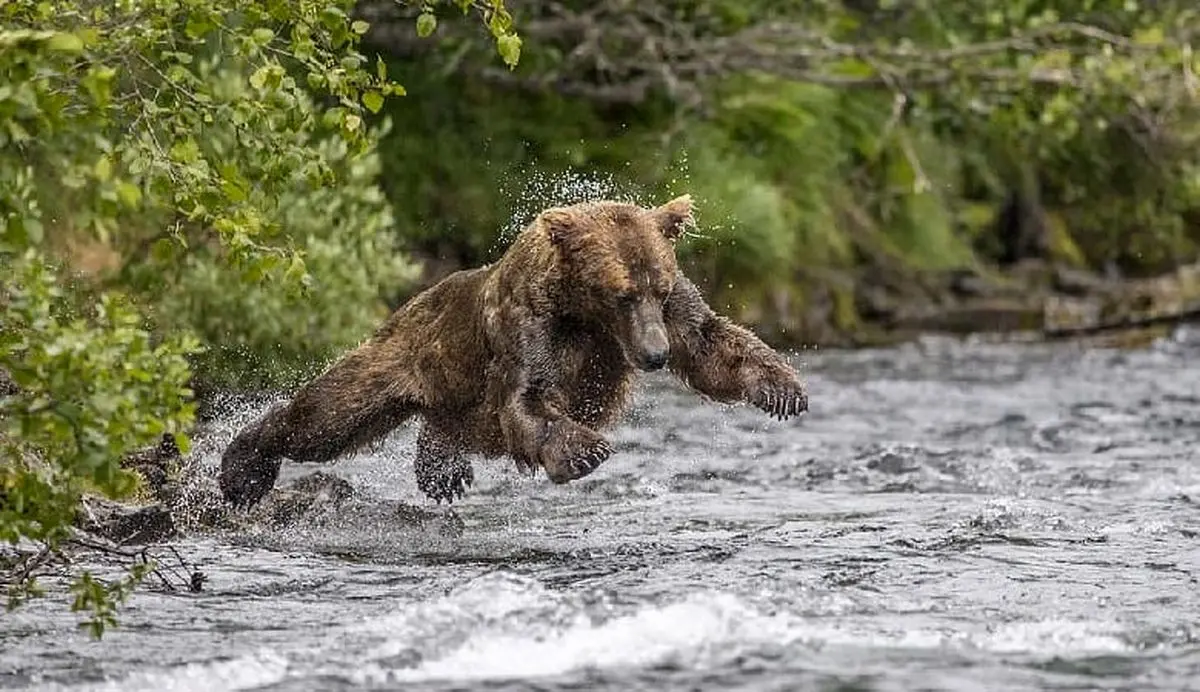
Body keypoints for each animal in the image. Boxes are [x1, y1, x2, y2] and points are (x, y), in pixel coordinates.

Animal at [220, 194, 811, 508]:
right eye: (621, 293)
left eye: (658, 290)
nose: (653, 355)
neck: (585, 314)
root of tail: (412, 300)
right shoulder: (530, 324)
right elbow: (527, 399)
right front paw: (586, 449)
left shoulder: (669, 315)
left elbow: (710, 341)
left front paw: (783, 389)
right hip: (405, 354)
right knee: (327, 417)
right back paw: (242, 468)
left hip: (450, 393)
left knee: (440, 426)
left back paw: (442, 473)